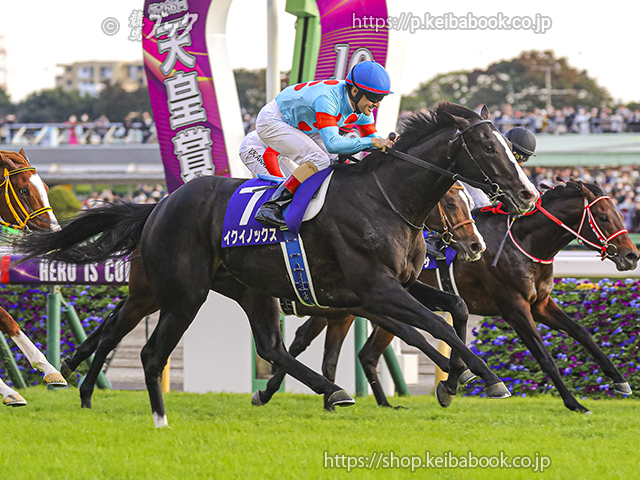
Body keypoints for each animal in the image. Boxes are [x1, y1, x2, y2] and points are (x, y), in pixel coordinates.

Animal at [13, 103, 540, 427]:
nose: (527, 195)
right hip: (178, 292)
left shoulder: (394, 287)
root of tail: (158, 205)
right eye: (489, 148)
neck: (384, 199)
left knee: (270, 345)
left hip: (248, 289)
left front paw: (453, 378)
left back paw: (330, 390)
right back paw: (96, 389)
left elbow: (455, 309)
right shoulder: (374, 291)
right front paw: (482, 378)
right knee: (134, 340)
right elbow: (431, 327)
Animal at [262, 180, 638, 414]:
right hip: (361, 305)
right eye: (603, 216)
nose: (631, 256)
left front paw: (619, 381)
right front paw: (575, 403)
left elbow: (582, 332)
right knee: (308, 342)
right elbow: (544, 355)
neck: (524, 243)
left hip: (352, 308)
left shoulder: (541, 304)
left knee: (356, 352)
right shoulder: (515, 308)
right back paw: (281, 392)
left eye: (621, 213)